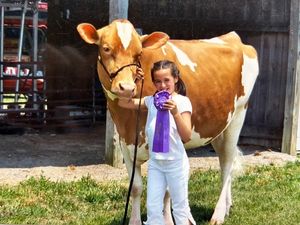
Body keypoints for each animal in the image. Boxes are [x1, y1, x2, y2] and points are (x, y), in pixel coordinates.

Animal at [77, 19, 258, 225]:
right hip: (219, 127)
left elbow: (167, 189)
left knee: (227, 164)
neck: (128, 120)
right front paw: (135, 221)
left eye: (139, 53)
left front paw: (167, 220)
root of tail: (233, 37)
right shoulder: (125, 141)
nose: (127, 87)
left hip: (238, 116)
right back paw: (227, 207)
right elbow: (136, 186)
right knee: (225, 161)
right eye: (106, 48)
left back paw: (218, 215)